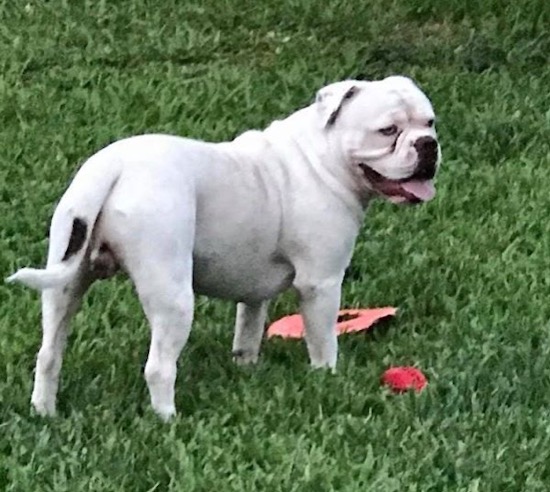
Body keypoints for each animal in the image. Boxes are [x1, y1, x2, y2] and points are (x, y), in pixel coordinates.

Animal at [6, 76, 442, 418]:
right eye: (388, 131)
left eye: (430, 122)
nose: (428, 145)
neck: (323, 154)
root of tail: (113, 169)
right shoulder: (321, 283)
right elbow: (323, 340)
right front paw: (326, 377)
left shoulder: (254, 289)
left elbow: (248, 328)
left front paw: (245, 368)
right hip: (172, 294)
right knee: (158, 367)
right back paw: (168, 419)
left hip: (64, 281)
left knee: (49, 352)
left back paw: (44, 411)